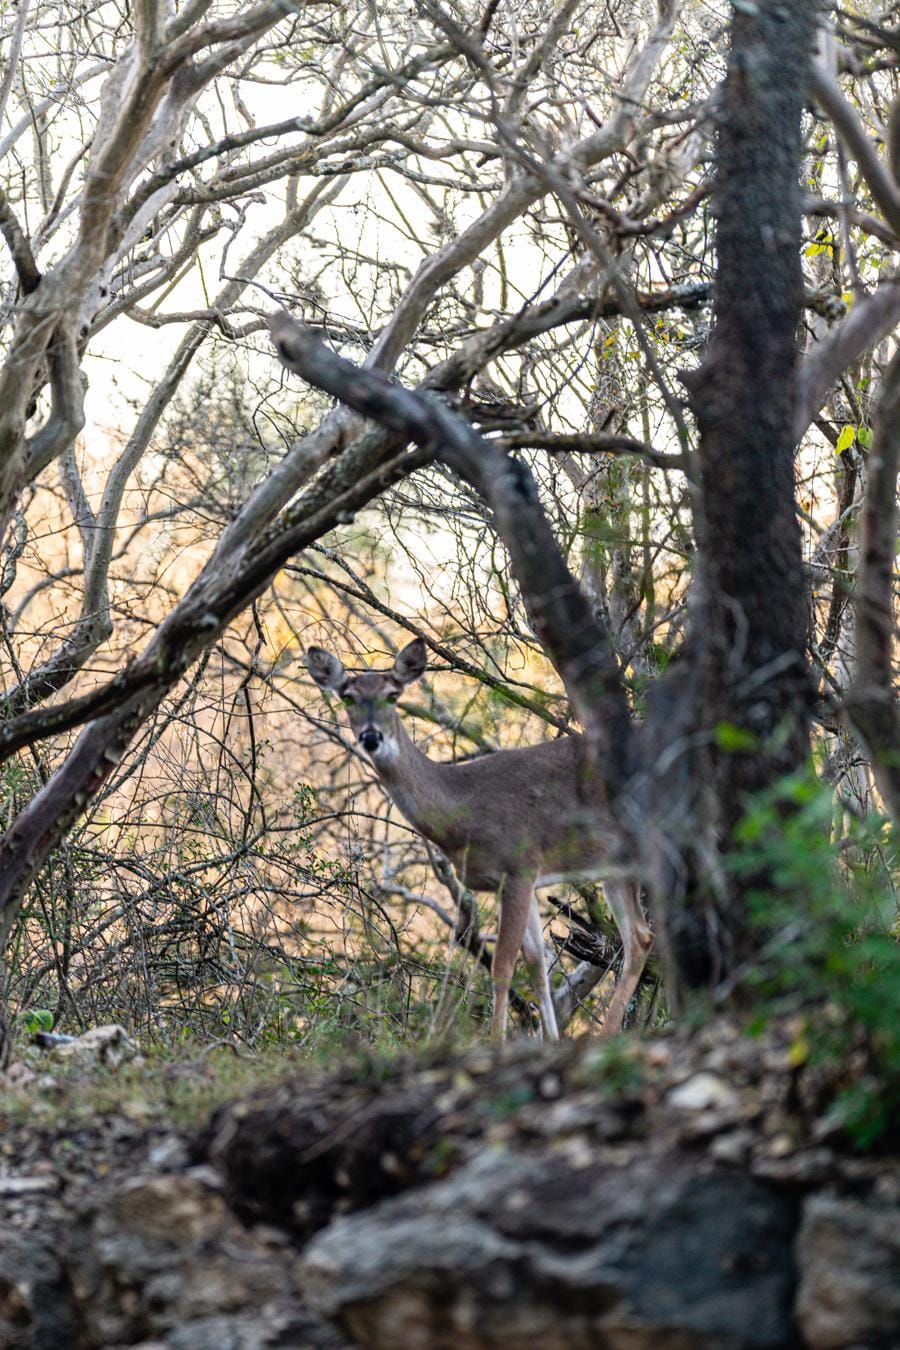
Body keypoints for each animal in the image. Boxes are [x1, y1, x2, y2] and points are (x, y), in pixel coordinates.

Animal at [306, 637, 652, 1041]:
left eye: (393, 695)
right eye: (347, 697)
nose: (371, 737)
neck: (464, 812)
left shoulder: (519, 864)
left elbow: (503, 967)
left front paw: (498, 1041)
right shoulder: (521, 879)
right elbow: (536, 965)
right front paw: (549, 1041)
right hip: (613, 863)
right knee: (639, 938)